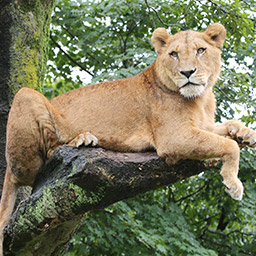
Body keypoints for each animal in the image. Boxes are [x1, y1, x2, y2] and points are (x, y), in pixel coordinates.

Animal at [0, 23, 256, 254]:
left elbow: (228, 128)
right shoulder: (174, 137)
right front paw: (233, 184)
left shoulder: (202, 126)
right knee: (48, 155)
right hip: (25, 97)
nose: (187, 73)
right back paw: (82, 139)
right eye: (173, 54)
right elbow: (229, 146)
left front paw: (245, 133)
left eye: (201, 50)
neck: (201, 99)